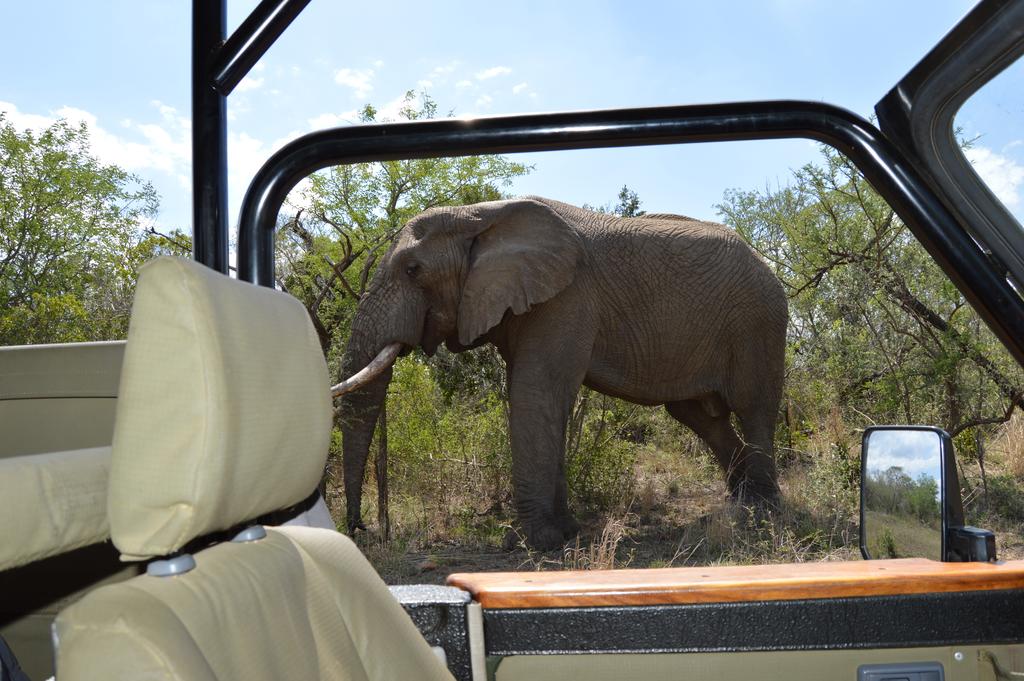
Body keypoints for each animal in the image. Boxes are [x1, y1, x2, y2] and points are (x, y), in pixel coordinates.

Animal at [338, 196, 788, 550]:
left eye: (412, 269)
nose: (361, 529)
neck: (479, 215)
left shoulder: (567, 298)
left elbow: (537, 393)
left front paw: (534, 543)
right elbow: (541, 399)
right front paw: (567, 532)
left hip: (758, 321)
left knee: (753, 407)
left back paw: (761, 514)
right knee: (700, 417)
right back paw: (739, 505)